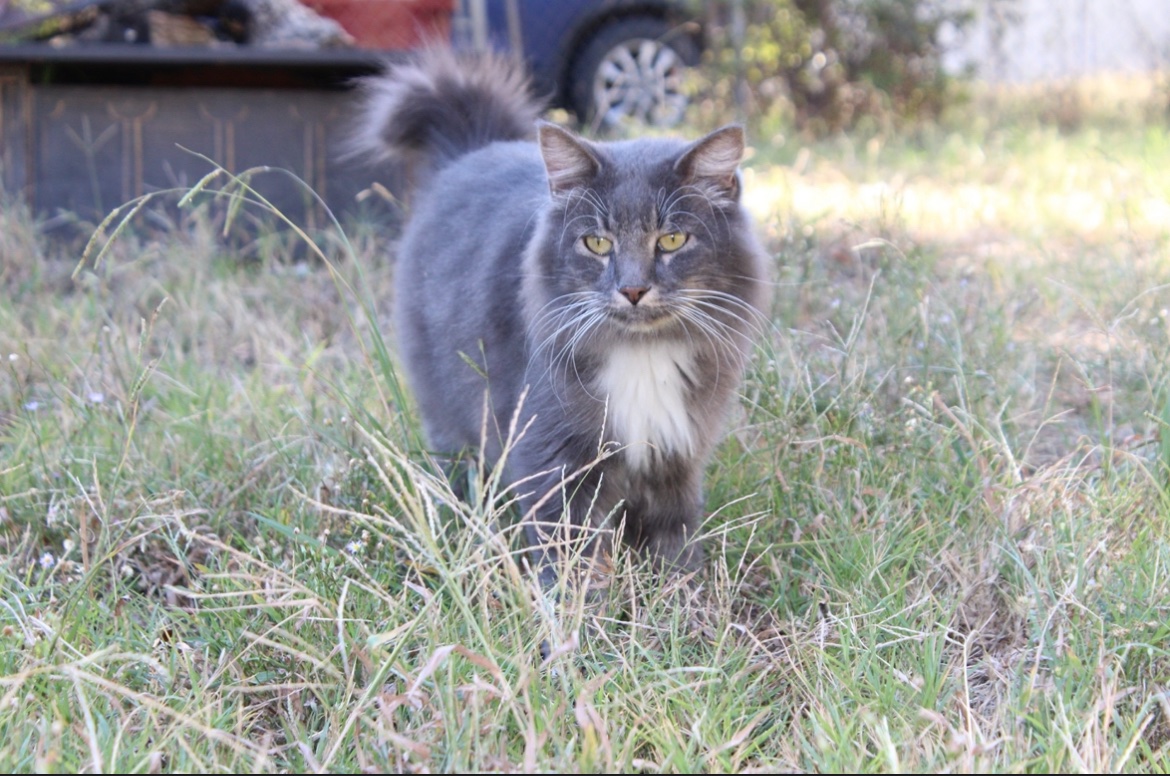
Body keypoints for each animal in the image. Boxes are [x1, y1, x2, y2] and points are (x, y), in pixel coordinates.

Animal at [346, 45, 767, 585]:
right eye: (597, 243)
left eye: (672, 239)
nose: (633, 289)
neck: (642, 354)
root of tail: (473, 150)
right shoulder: (552, 459)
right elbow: (567, 558)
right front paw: (576, 607)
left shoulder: (676, 454)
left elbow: (674, 545)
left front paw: (682, 599)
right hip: (450, 414)